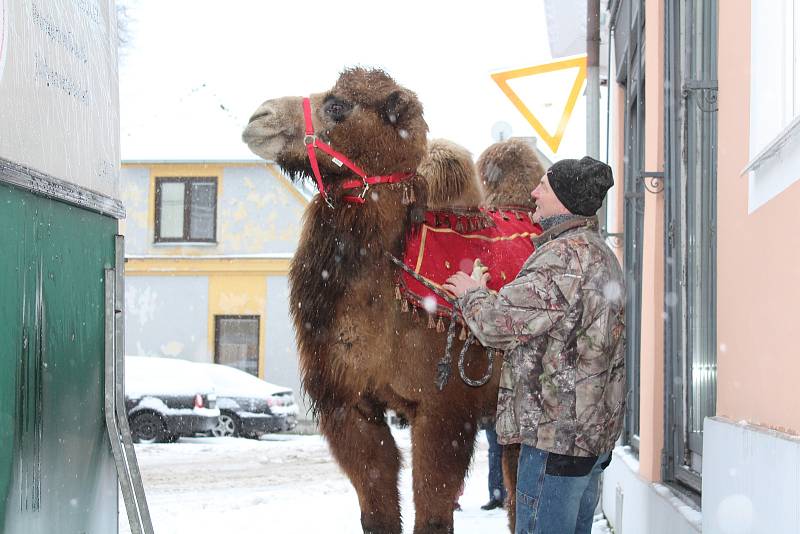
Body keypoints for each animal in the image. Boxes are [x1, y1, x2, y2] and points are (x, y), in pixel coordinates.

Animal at [244, 69, 532, 532]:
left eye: (338, 105)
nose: (259, 117)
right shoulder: (349, 405)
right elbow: (377, 501)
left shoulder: (444, 410)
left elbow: (432, 510)